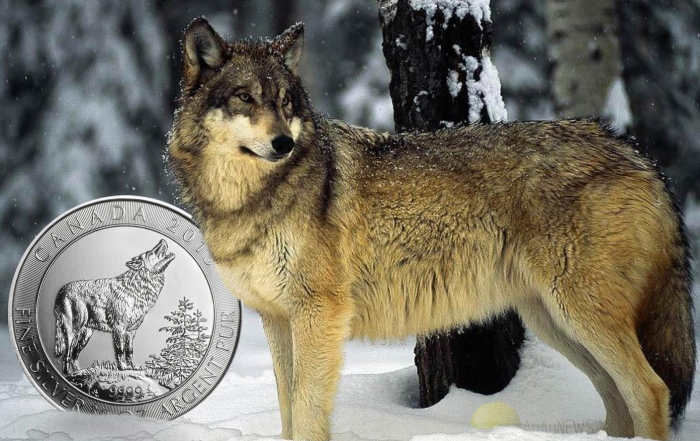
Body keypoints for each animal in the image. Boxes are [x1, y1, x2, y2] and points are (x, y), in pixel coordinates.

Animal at [54, 239, 175, 374]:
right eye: (150, 252)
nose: (162, 240)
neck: (135, 290)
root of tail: (61, 292)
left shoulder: (131, 332)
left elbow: (130, 351)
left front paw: (134, 367)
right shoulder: (119, 329)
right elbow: (120, 350)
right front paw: (123, 367)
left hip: (86, 334)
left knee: (75, 353)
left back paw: (79, 371)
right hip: (73, 330)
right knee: (67, 353)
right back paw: (67, 373)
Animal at [167, 18, 695, 441]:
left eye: (285, 102)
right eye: (245, 98)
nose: (283, 143)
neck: (251, 201)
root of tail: (635, 153)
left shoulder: (319, 314)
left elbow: (307, 412)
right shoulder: (277, 319)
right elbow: (287, 409)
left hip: (579, 313)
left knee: (651, 389)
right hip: (555, 322)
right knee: (618, 398)